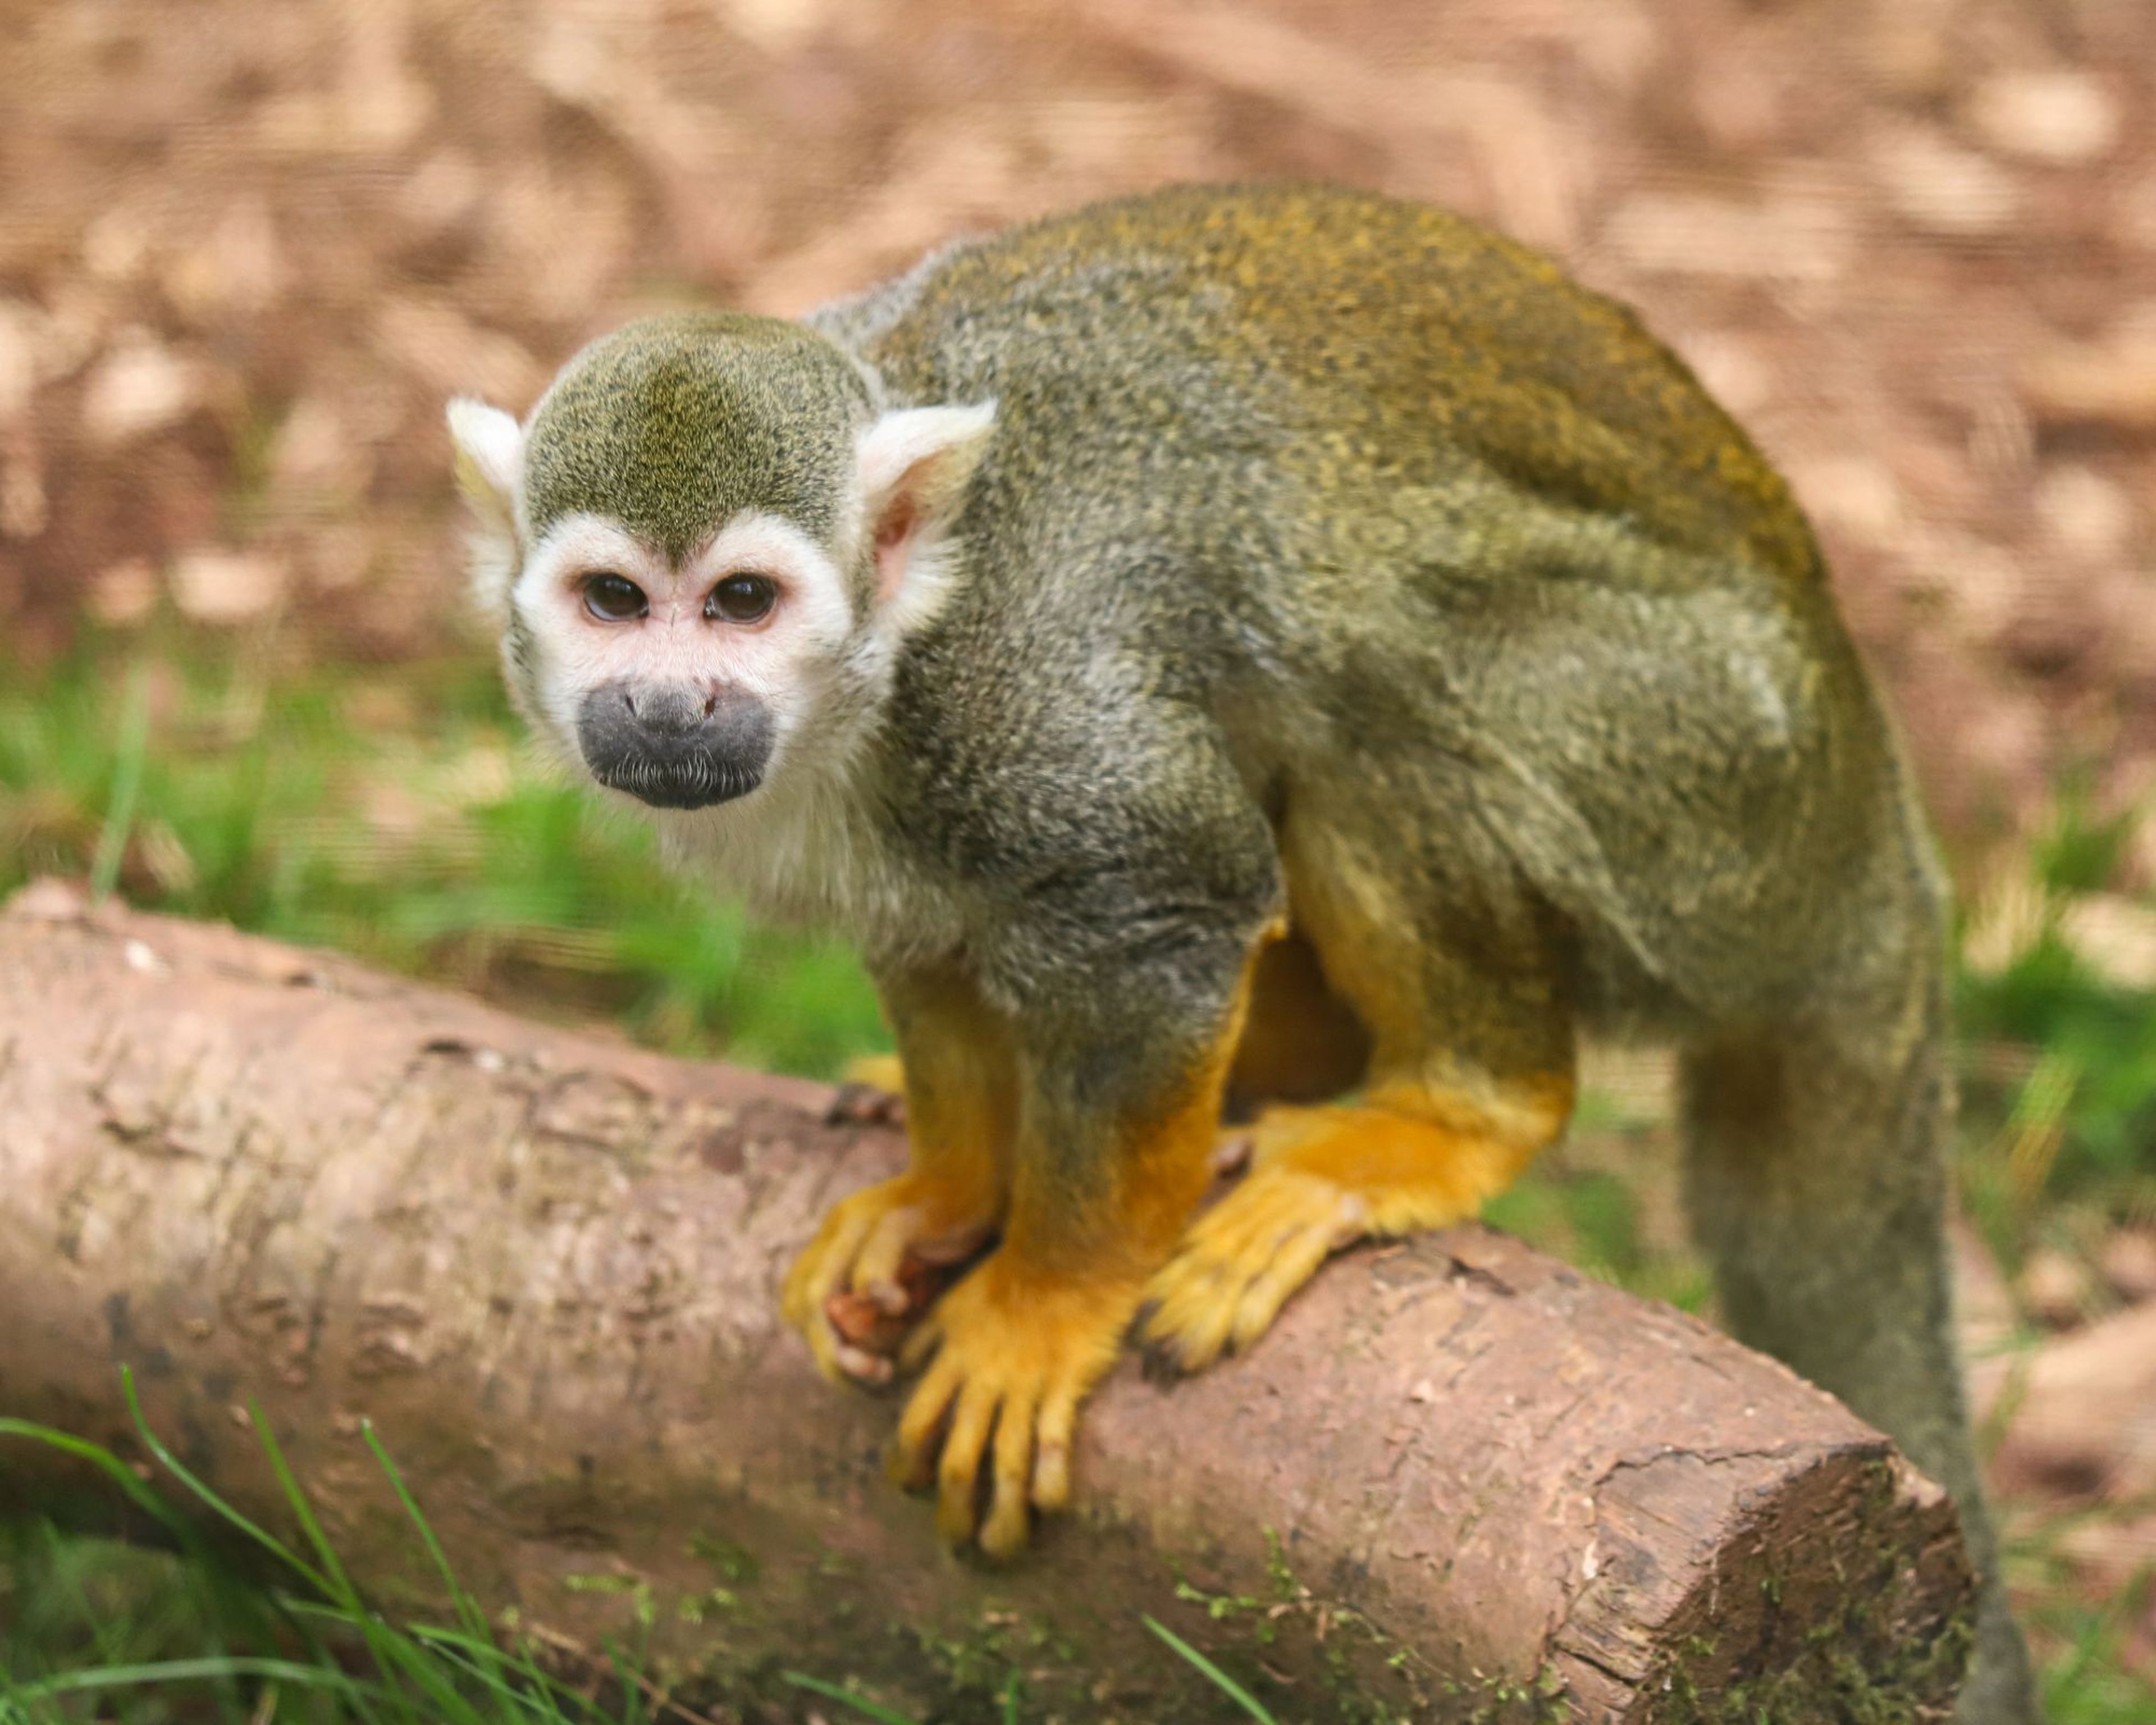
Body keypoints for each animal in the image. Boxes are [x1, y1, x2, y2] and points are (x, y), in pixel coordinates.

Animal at [447, 183, 2035, 1722]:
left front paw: (1046, 1302)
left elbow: (1168, 911)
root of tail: (1868, 822)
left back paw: (1458, 1109)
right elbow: (935, 943)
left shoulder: (1032, 695)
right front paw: (945, 1191)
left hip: (1713, 791)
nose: (668, 706)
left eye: (741, 602)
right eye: (611, 601)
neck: (893, 659)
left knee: (1385, 682)